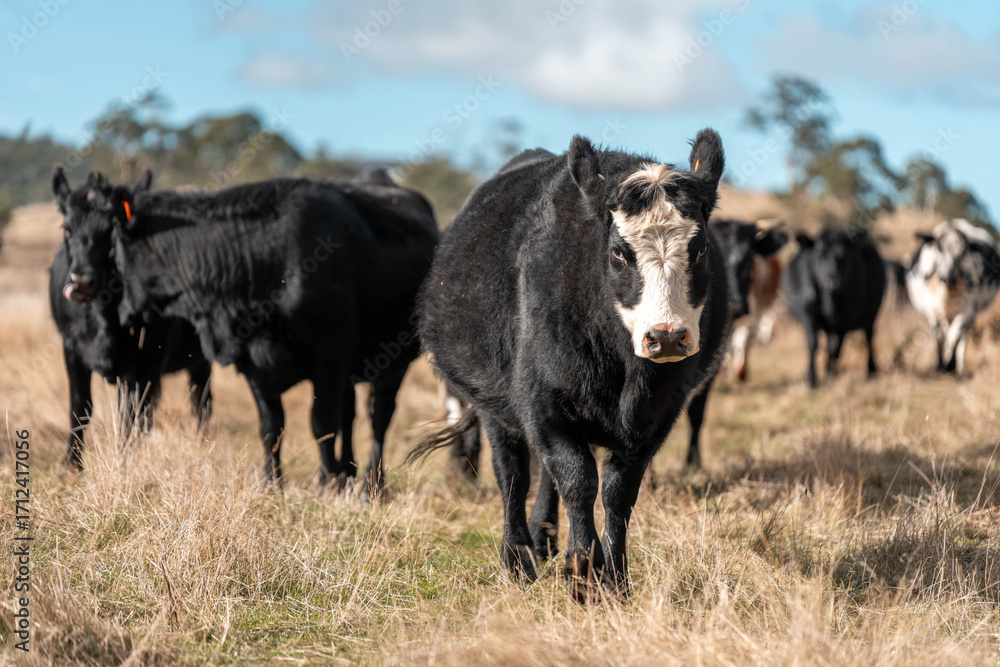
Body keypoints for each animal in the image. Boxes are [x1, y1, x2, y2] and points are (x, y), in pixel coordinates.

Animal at [49, 167, 212, 469]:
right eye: (66, 228)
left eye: (112, 230)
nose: (82, 281)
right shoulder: (71, 347)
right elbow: (80, 406)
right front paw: (71, 465)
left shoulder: (150, 359)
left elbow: (133, 418)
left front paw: (124, 465)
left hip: (200, 358)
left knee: (201, 402)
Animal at [107, 176, 439, 497]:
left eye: (117, 255)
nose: (124, 313)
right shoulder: (254, 363)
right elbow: (271, 427)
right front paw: (272, 483)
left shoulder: (329, 357)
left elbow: (321, 423)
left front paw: (325, 481)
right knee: (349, 413)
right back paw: (347, 473)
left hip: (393, 362)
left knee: (379, 417)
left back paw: (373, 483)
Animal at [413, 129, 730, 600]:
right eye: (619, 253)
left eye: (701, 248)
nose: (667, 336)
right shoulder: (543, 403)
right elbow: (578, 482)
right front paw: (582, 573)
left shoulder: (660, 412)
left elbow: (617, 492)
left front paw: (615, 578)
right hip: (494, 406)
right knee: (512, 473)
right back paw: (518, 558)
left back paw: (543, 539)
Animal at [783, 227, 885, 387]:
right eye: (819, 254)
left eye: (844, 256)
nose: (832, 281)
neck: (830, 304)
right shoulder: (808, 317)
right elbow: (813, 343)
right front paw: (811, 378)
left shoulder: (844, 323)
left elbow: (835, 348)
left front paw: (829, 375)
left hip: (871, 315)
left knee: (868, 338)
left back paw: (871, 370)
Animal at [906, 218, 1000, 376]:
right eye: (939, 248)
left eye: (962, 252)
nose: (946, 276)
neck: (949, 292)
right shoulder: (933, 310)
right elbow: (940, 336)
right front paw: (941, 365)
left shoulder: (968, 309)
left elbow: (955, 335)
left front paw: (951, 363)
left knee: (962, 335)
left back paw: (959, 366)